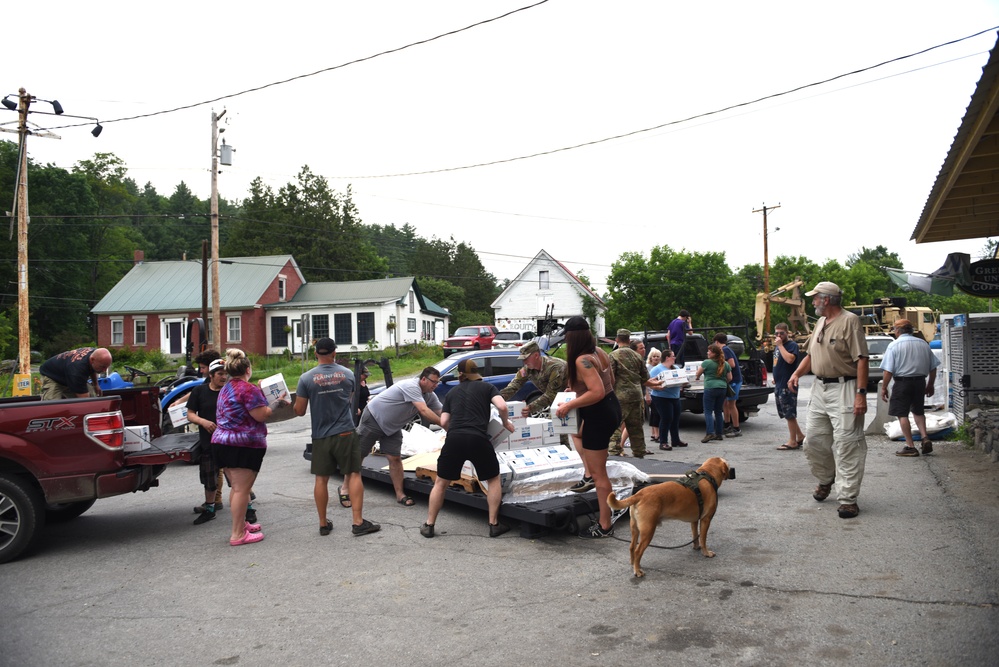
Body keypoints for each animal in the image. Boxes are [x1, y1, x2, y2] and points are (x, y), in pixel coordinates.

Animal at [604, 456, 732, 576]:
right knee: (637, 551)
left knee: (631, 547)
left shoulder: (694, 520)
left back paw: (633, 564)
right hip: (648, 531)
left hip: (634, 528)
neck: (707, 474)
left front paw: (696, 547)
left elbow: (695, 536)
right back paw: (638, 570)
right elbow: (703, 539)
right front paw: (706, 552)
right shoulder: (706, 520)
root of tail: (639, 494)